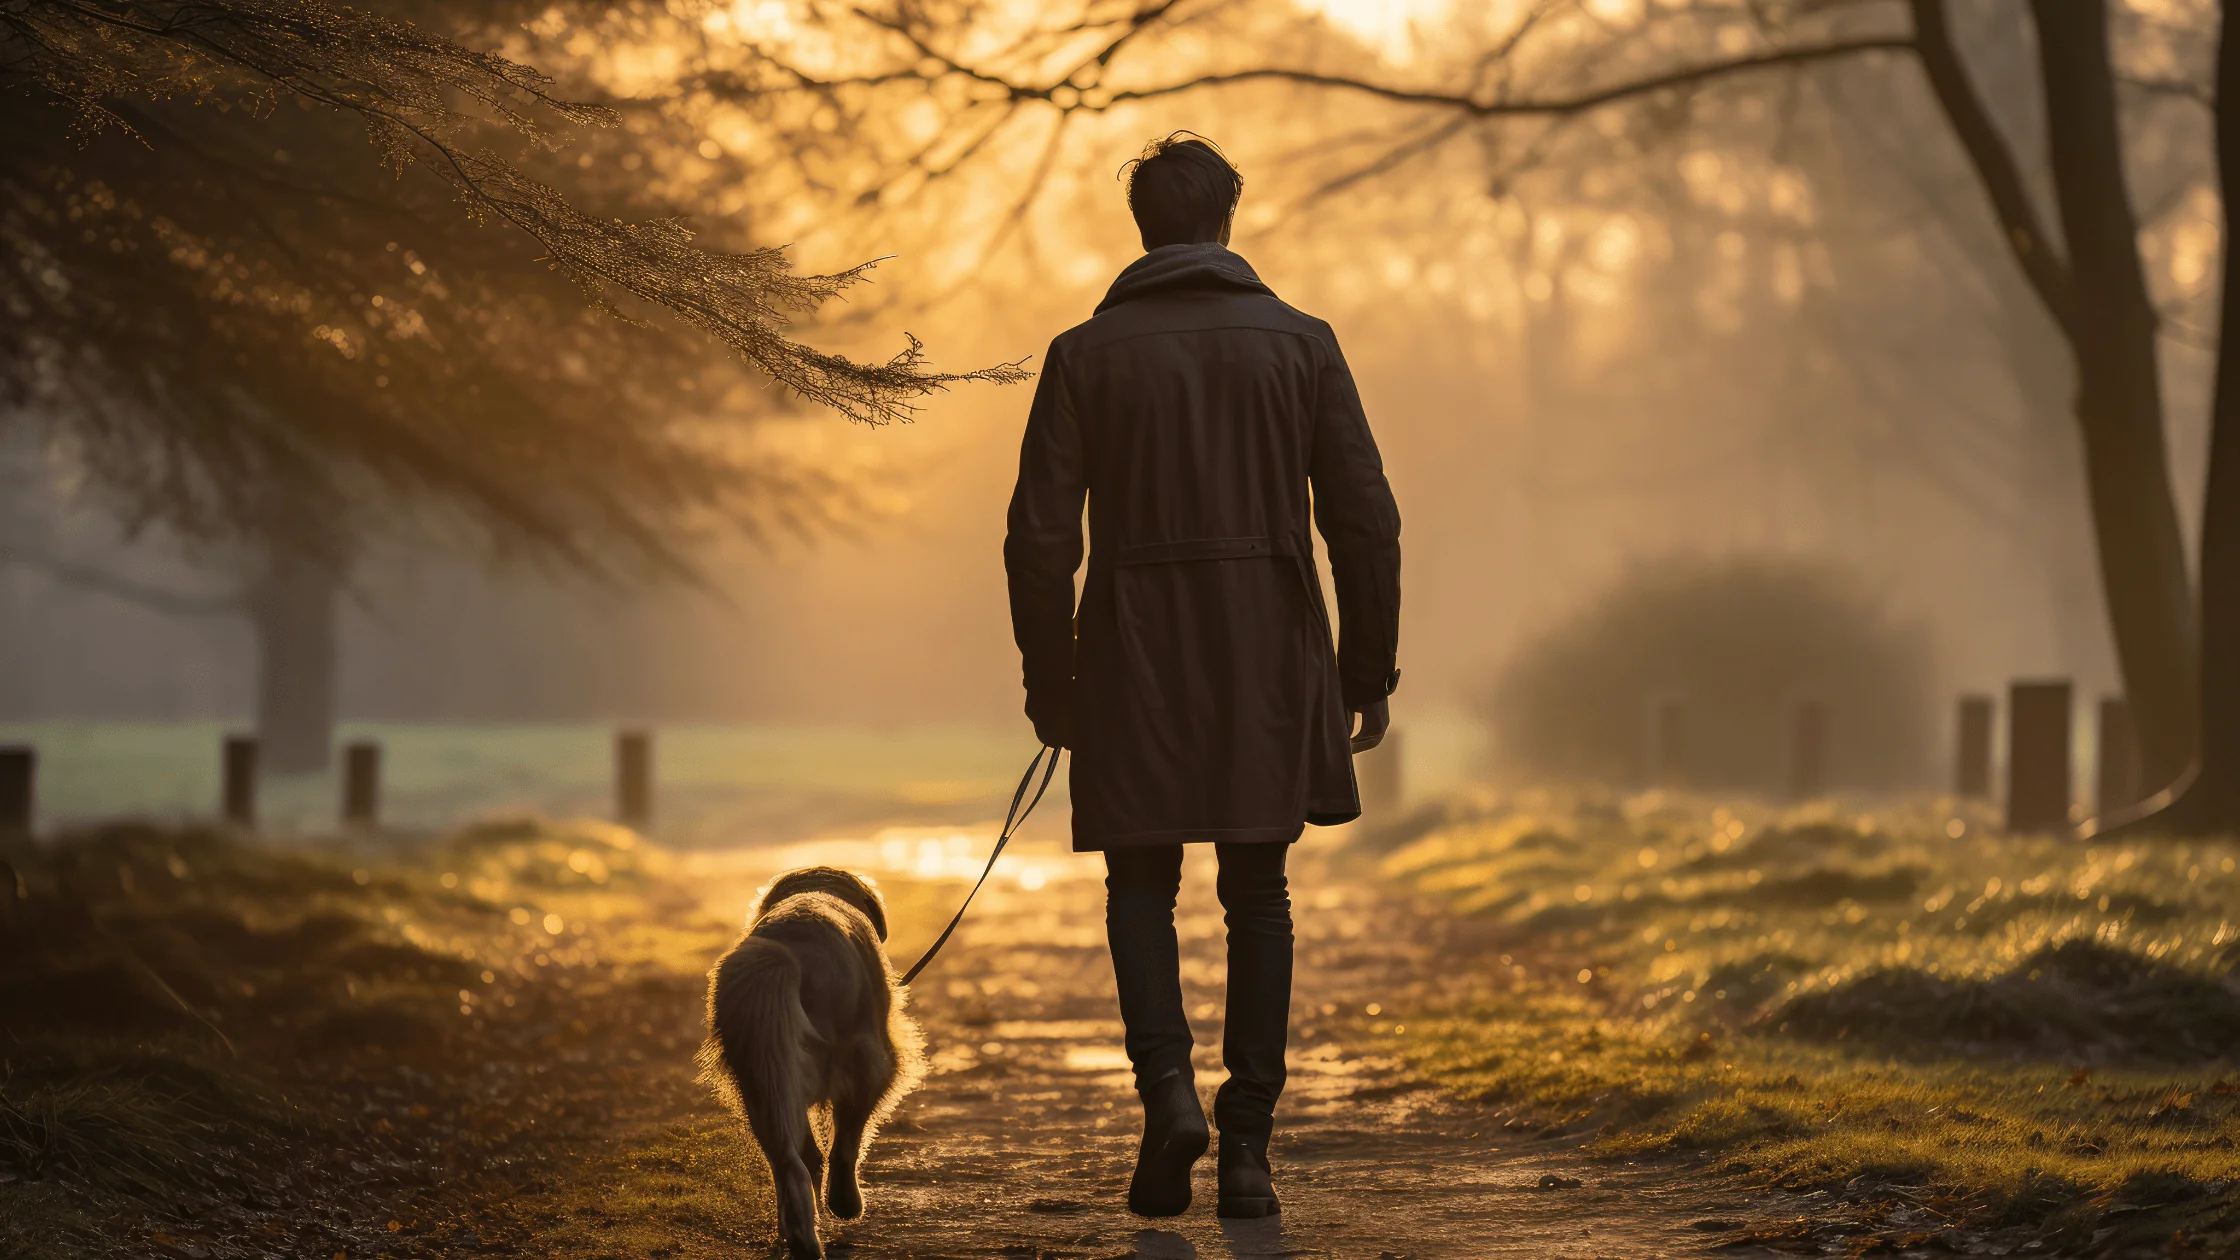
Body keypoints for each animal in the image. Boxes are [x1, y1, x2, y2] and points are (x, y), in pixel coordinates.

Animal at [689, 860, 918, 1255]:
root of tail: (785, 952)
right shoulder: (874, 1059)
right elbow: (847, 1141)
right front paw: (844, 1202)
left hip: (763, 1082)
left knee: (789, 1162)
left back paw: (799, 1237)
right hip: (859, 1058)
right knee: (833, 1141)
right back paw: (832, 1212)